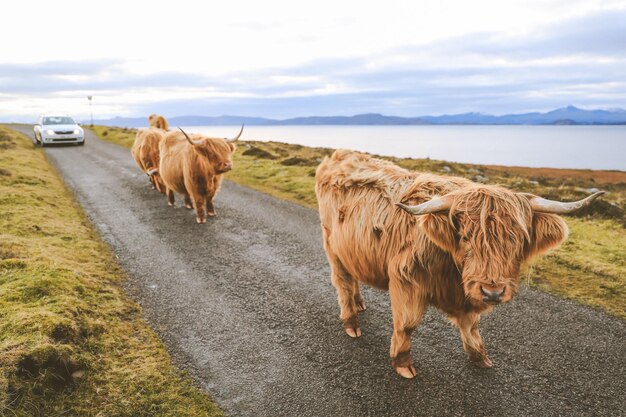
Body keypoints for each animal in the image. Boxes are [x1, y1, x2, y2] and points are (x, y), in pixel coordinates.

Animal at [314, 150, 604, 376]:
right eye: (465, 237)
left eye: (519, 240)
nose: (493, 292)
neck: (450, 269)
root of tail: (337, 156)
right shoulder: (406, 279)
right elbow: (407, 324)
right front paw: (403, 363)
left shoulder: (466, 292)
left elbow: (471, 324)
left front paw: (480, 356)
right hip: (332, 245)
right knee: (342, 282)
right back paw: (351, 321)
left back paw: (359, 302)